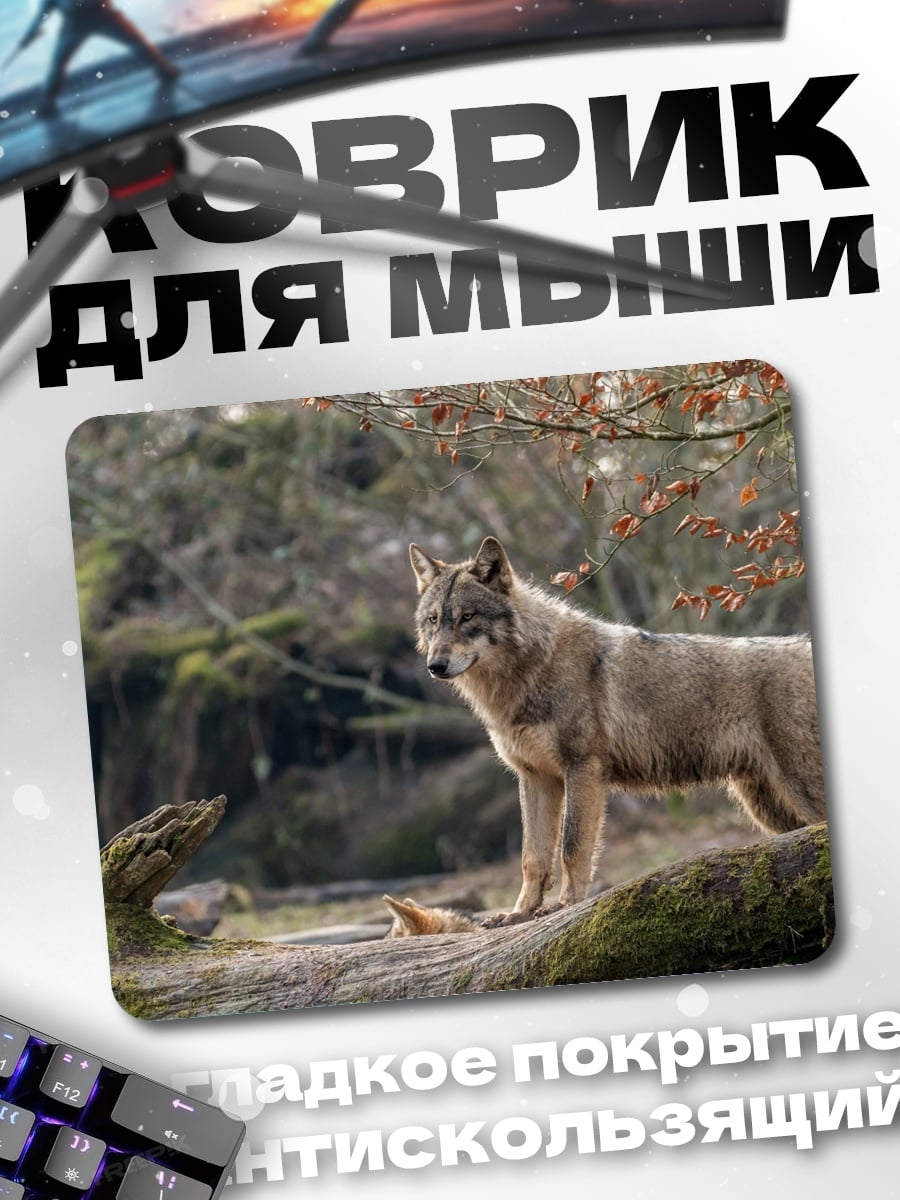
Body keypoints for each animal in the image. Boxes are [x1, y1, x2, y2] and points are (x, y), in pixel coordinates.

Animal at [409, 536, 826, 925]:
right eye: (433, 620)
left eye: (467, 617)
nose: (435, 665)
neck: (528, 672)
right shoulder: (535, 778)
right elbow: (533, 857)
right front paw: (518, 914)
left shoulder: (584, 769)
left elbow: (572, 845)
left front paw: (565, 904)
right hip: (768, 808)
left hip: (795, 793)